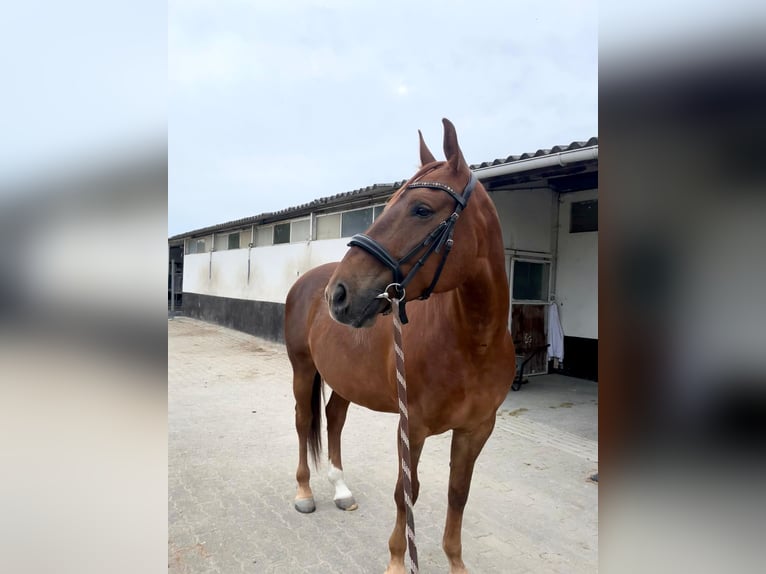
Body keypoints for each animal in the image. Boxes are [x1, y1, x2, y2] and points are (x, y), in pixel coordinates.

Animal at [284, 118, 516, 574]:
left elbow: (458, 492)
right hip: (303, 369)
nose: (338, 294)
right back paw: (305, 493)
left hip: (345, 378)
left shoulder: (477, 429)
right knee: (304, 422)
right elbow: (405, 492)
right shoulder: (413, 426)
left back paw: (341, 489)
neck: (474, 343)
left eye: (422, 209)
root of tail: (309, 281)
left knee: (334, 418)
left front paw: (455, 562)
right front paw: (396, 559)